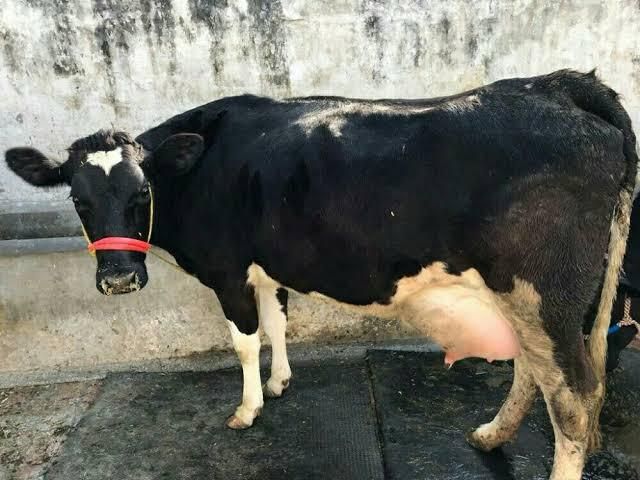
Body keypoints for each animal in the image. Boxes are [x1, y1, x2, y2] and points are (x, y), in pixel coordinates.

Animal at [5, 69, 637, 480]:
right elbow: (278, 323)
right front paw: (281, 382)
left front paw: (248, 409)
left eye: (142, 194)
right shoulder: (267, 268)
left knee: (573, 397)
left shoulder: (227, 272)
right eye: (78, 199)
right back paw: (489, 435)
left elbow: (245, 341)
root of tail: (560, 84)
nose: (118, 278)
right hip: (531, 298)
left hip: (543, 291)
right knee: (535, 372)